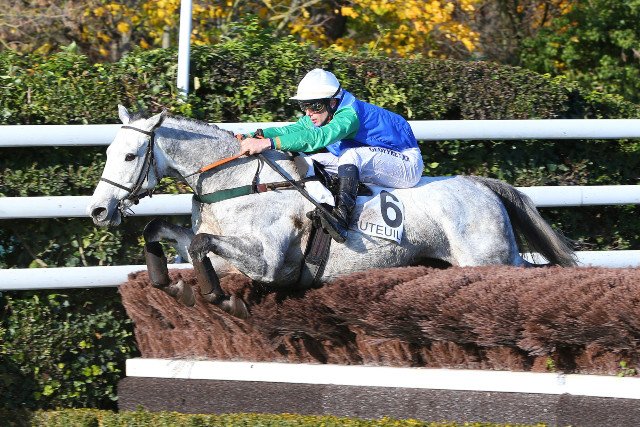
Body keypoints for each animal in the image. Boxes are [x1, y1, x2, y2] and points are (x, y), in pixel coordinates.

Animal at [87, 106, 576, 318]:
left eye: (130, 156)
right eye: (107, 152)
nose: (98, 210)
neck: (240, 182)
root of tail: (481, 185)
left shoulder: (270, 262)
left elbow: (203, 246)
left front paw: (218, 297)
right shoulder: (225, 253)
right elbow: (167, 233)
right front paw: (168, 284)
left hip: (487, 257)